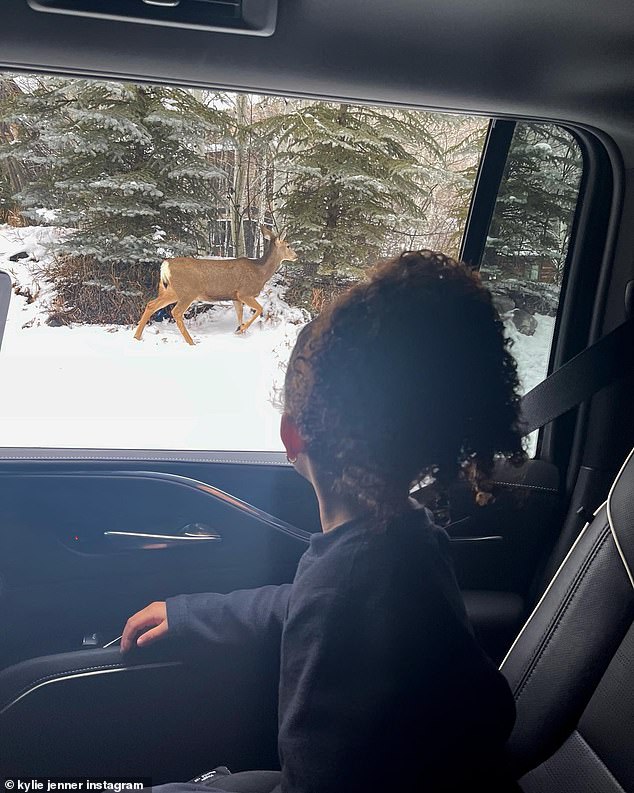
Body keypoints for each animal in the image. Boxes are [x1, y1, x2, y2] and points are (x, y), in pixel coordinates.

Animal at [133, 224, 296, 344]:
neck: (260, 272)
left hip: (169, 290)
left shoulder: (235, 297)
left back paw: (137, 337)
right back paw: (191, 342)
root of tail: (165, 265)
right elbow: (259, 308)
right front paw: (242, 329)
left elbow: (239, 314)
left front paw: (240, 330)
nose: (296, 255)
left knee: (151, 305)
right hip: (187, 291)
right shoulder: (244, 292)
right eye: (288, 245)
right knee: (176, 312)